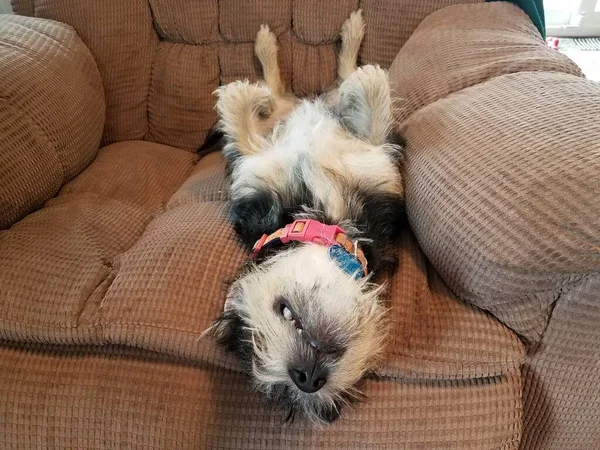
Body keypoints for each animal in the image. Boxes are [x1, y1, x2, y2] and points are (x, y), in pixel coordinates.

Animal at [205, 11, 404, 426]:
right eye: (245, 339)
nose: (306, 379)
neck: (320, 217)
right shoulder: (254, 170)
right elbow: (239, 127)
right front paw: (243, 97)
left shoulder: (379, 168)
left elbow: (373, 100)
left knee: (300, 87)